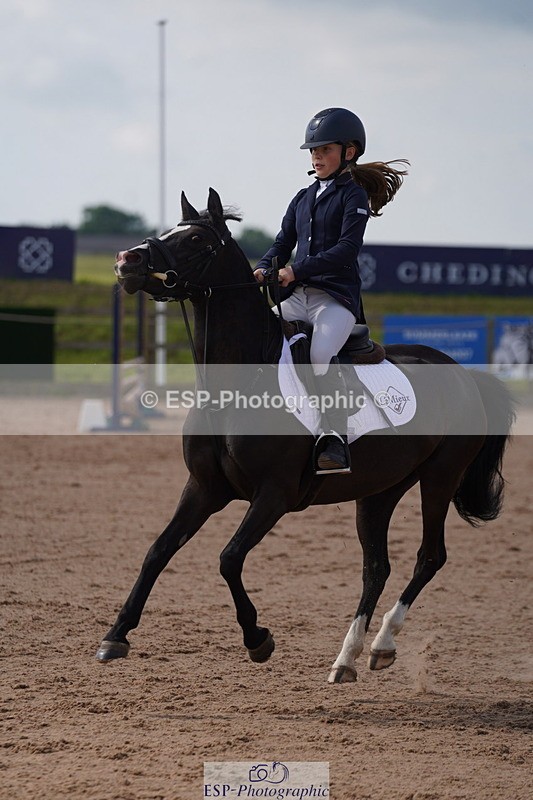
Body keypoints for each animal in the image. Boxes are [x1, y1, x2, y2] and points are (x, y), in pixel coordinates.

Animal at [96, 188, 514, 684]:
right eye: (168, 231)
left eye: (196, 239)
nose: (127, 260)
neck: (235, 384)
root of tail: (465, 373)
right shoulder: (204, 487)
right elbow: (158, 551)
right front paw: (115, 635)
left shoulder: (273, 494)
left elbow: (228, 559)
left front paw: (258, 639)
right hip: (380, 491)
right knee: (377, 568)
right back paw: (347, 659)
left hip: (440, 478)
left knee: (429, 557)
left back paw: (382, 644)